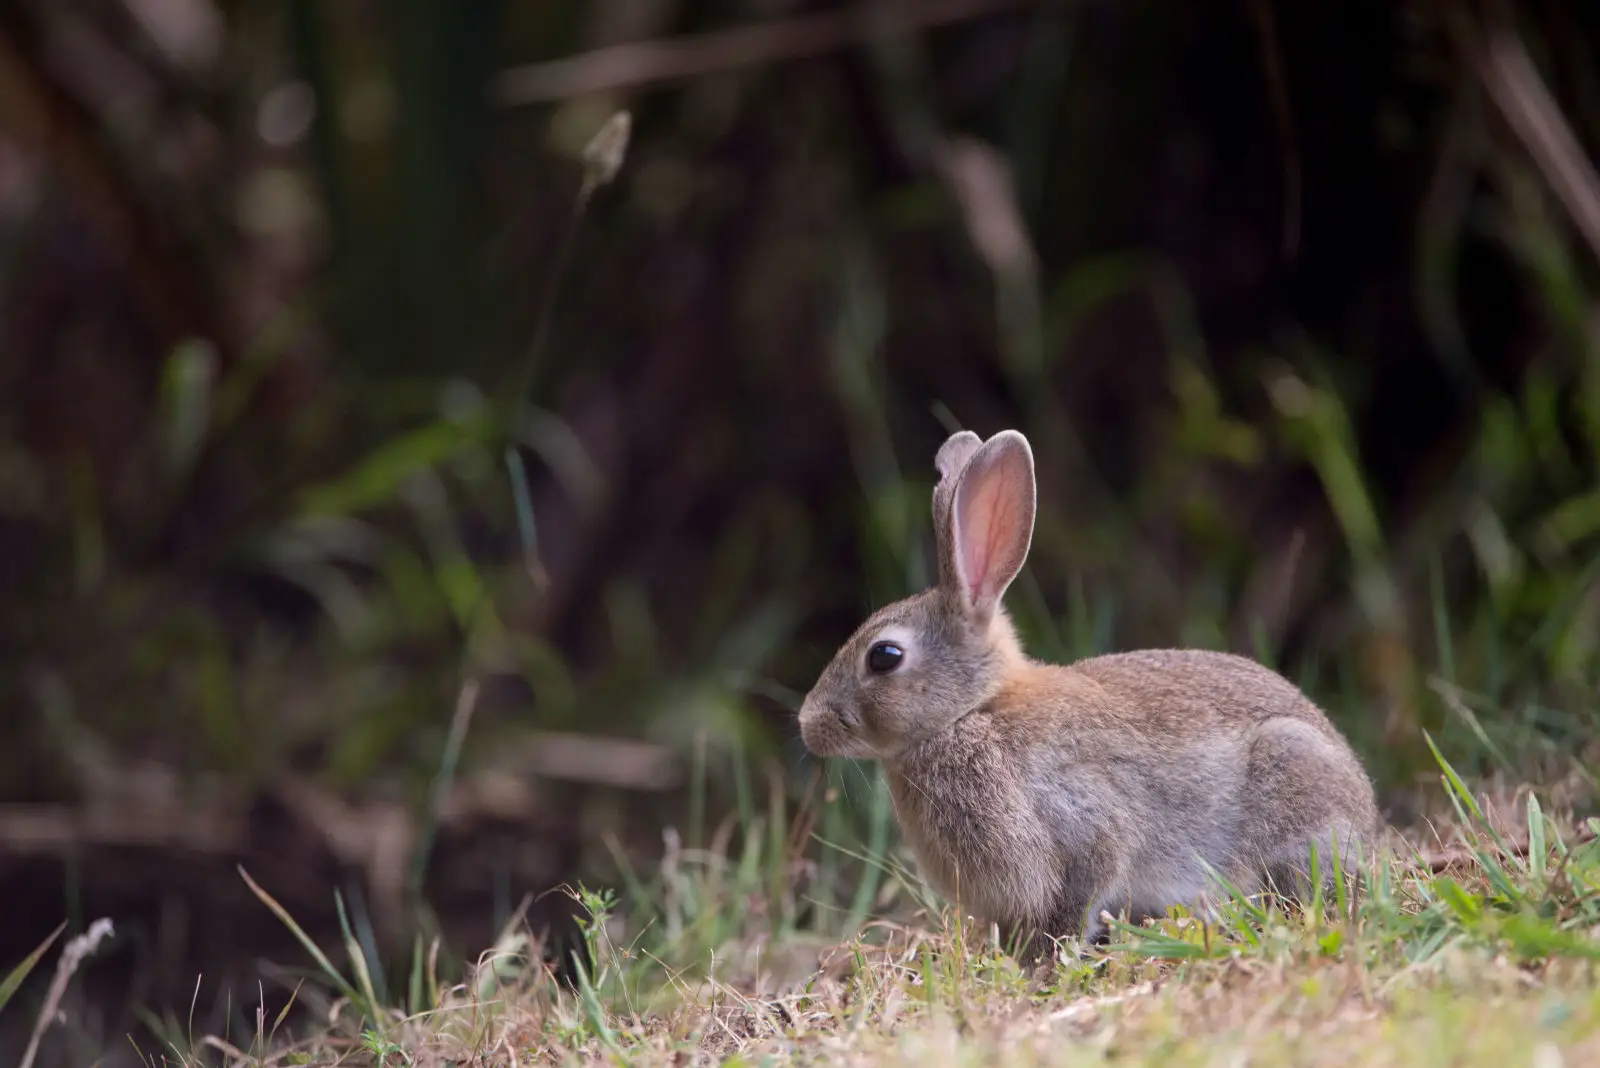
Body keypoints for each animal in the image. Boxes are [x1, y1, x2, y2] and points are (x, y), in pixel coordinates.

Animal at [798, 428, 1380, 952]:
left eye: (884, 656)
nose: (807, 725)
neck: (974, 712)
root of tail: (1366, 817)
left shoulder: (1081, 825)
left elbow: (1082, 894)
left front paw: (1047, 964)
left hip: (1292, 779)